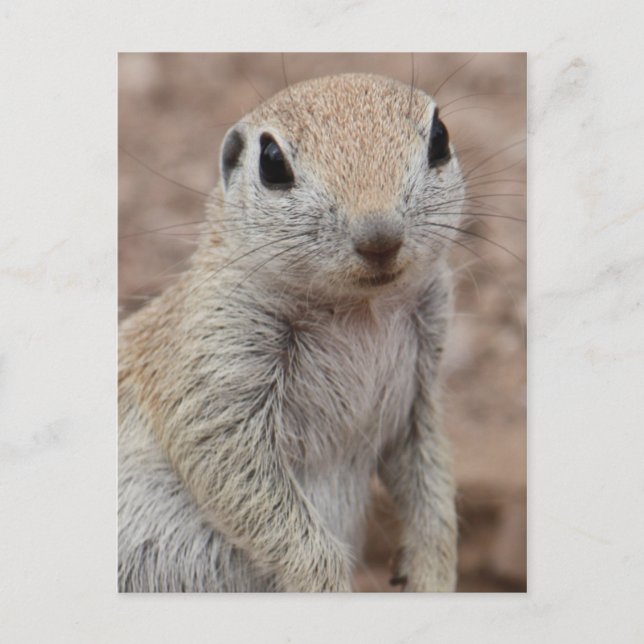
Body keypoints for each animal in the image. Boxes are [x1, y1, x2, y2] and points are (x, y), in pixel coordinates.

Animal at [118, 73, 464, 592]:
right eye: (272, 162)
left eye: (440, 138)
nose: (379, 236)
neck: (363, 312)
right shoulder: (215, 350)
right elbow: (233, 471)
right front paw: (330, 585)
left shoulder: (422, 381)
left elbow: (430, 470)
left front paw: (433, 574)